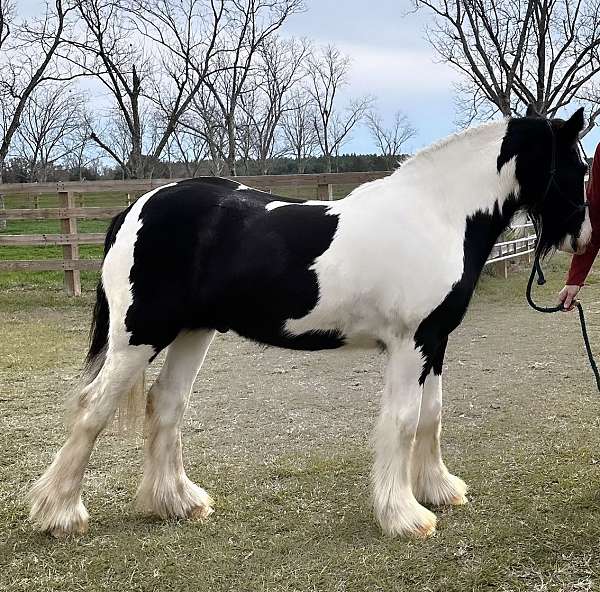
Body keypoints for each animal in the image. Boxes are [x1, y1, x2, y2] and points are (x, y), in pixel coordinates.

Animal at [29, 106, 592, 536]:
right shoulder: (410, 345)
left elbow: (432, 415)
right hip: (139, 337)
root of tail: (135, 209)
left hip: (192, 332)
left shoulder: (434, 342)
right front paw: (405, 516)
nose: (584, 237)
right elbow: (404, 420)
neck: (437, 214)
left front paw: (438, 490)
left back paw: (179, 503)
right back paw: (60, 514)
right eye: (578, 167)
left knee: (166, 404)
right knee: (92, 409)